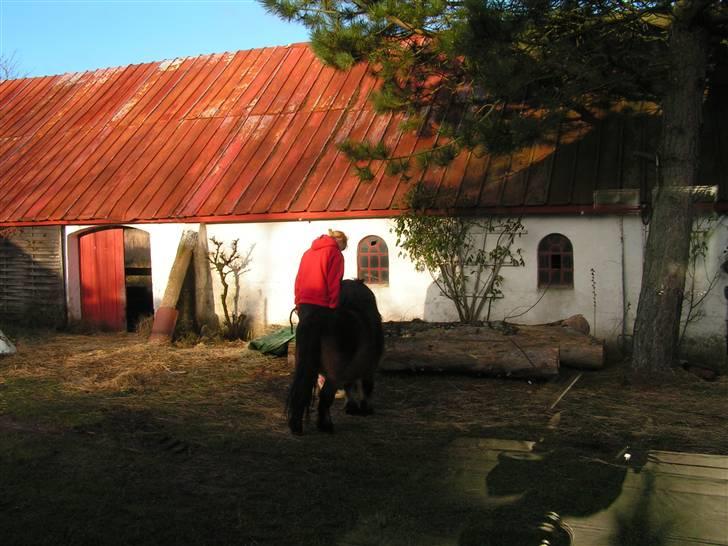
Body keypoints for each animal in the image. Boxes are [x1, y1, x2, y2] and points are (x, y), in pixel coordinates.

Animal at [286, 278, 384, 432]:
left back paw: (296, 425)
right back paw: (325, 425)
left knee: (302, 392)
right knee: (325, 397)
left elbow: (350, 386)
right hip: (334, 375)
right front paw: (365, 408)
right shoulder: (369, 369)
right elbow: (366, 387)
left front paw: (352, 407)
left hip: (306, 369)